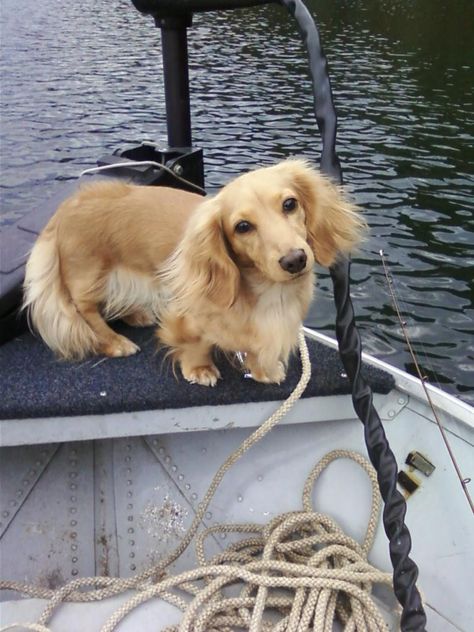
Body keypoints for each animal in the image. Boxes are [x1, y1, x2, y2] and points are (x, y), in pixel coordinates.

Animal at [24, 158, 364, 386]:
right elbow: (195, 344)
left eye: (290, 204)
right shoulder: (185, 315)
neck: (264, 292)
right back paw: (114, 342)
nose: (295, 260)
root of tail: (65, 208)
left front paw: (263, 371)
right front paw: (200, 369)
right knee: (87, 312)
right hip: (89, 276)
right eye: (242, 226)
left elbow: (255, 351)